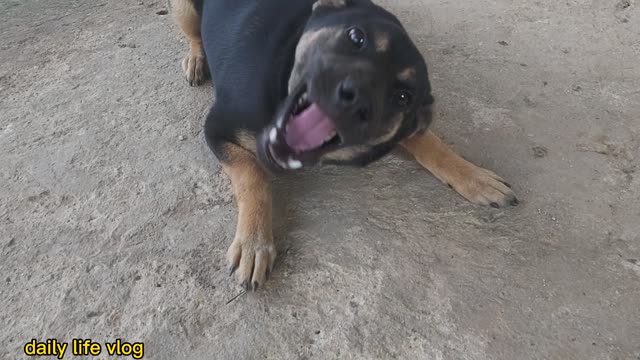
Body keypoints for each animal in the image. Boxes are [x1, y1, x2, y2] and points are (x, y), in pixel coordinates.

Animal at [171, 0, 520, 292]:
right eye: (356, 37)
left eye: (403, 96)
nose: (353, 98)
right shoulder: (217, 128)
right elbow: (252, 176)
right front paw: (255, 242)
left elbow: (427, 139)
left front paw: (473, 176)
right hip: (184, 9)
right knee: (193, 35)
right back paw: (196, 59)